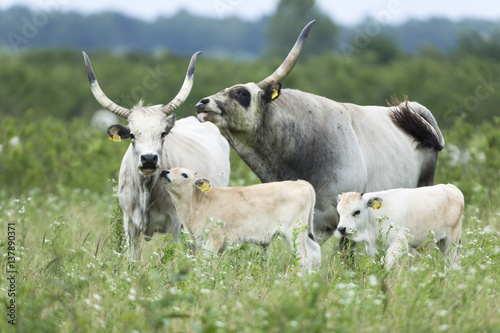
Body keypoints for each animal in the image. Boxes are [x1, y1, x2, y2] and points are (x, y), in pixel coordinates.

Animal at [162, 167, 322, 272]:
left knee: (304, 257)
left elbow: (206, 262)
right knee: (315, 250)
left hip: (294, 231)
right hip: (302, 232)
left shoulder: (213, 239)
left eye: (184, 174)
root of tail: (299, 182)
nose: (164, 172)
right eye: (170, 169)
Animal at [336, 185, 464, 268]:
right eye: (339, 212)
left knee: (450, 264)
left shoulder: (399, 244)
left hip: (452, 241)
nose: (341, 229)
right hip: (441, 242)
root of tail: (450, 187)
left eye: (356, 211)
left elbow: (386, 265)